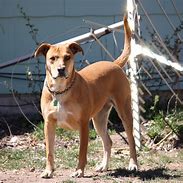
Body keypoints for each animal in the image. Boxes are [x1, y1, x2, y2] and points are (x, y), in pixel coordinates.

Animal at [34, 15, 137, 178]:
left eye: (67, 57)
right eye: (52, 58)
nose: (61, 69)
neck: (61, 91)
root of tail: (114, 64)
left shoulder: (83, 124)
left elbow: (82, 151)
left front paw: (79, 171)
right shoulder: (49, 124)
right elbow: (49, 151)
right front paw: (48, 171)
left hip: (124, 112)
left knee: (131, 140)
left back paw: (133, 164)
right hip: (99, 119)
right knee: (108, 142)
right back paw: (103, 166)